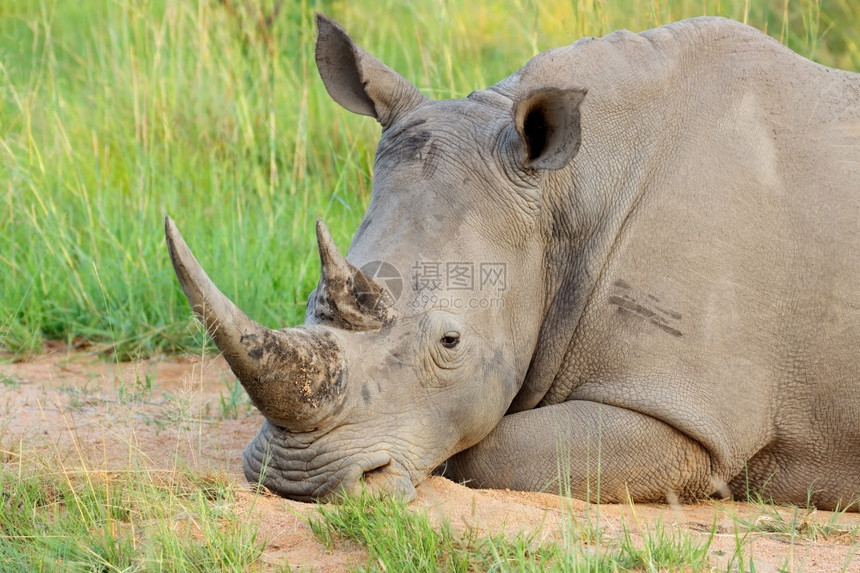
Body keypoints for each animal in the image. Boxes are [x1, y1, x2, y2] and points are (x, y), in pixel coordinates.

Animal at [165, 13, 856, 508]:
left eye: (451, 342)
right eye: (308, 302)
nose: (296, 480)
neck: (564, 192)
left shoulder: (689, 414)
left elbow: (488, 451)